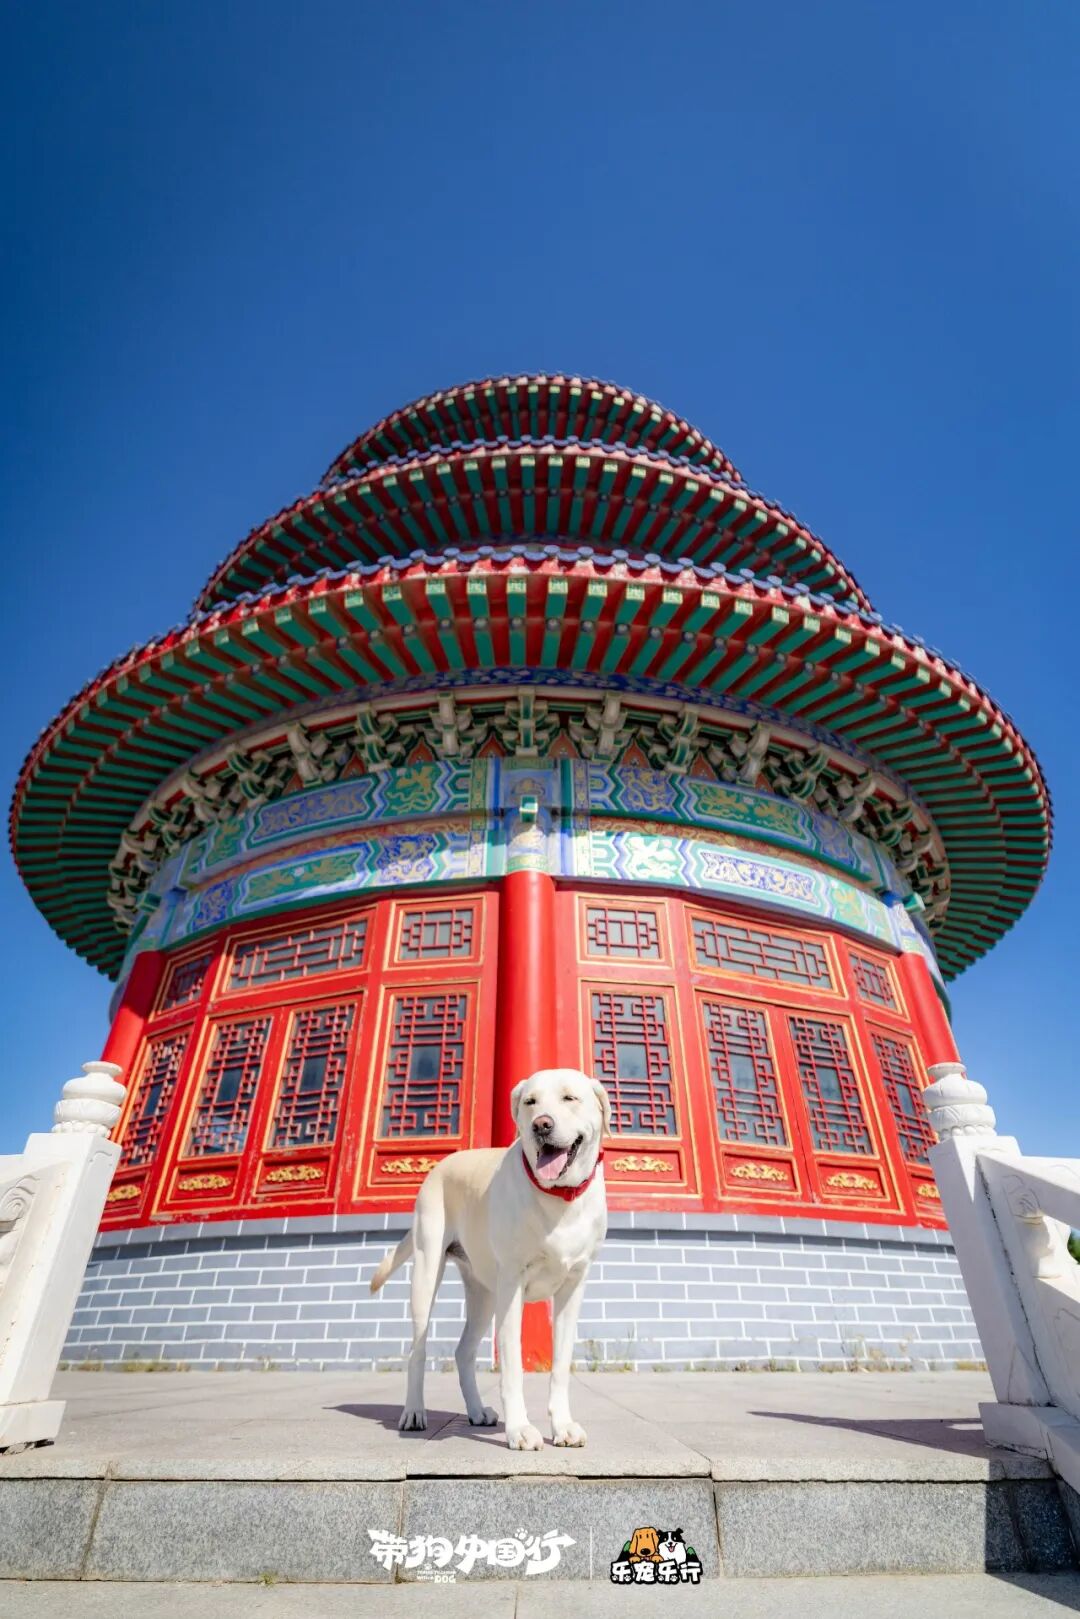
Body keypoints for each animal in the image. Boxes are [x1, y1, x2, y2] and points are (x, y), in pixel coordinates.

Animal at [370, 1067, 611, 1450]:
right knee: (417, 1350)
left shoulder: (573, 1286)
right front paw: (520, 1430)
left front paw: (562, 1426)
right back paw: (414, 1413)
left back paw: (477, 1411)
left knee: (463, 1351)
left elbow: (560, 1366)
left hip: (484, 1293)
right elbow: (512, 1364)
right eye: (530, 1102)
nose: (541, 1125)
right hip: (428, 1272)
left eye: (569, 1098)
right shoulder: (512, 1285)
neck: (559, 1198)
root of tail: (441, 1163)